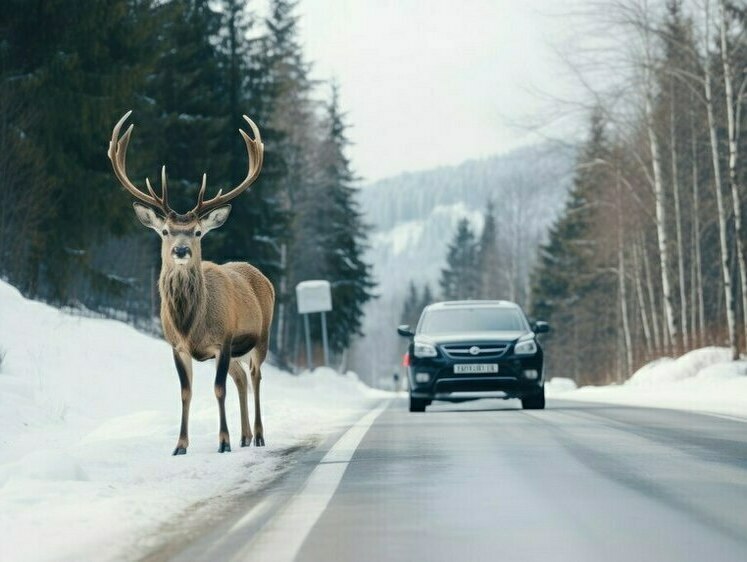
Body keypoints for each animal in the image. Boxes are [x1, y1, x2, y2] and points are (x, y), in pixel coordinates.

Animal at [108, 110, 274, 456]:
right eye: (165, 231)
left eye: (197, 232)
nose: (181, 250)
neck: (190, 324)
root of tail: (259, 274)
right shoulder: (176, 346)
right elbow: (186, 392)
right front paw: (180, 445)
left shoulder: (224, 339)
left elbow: (218, 389)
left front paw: (222, 442)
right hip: (235, 352)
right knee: (241, 378)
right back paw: (244, 436)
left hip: (261, 337)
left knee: (255, 376)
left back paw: (258, 435)